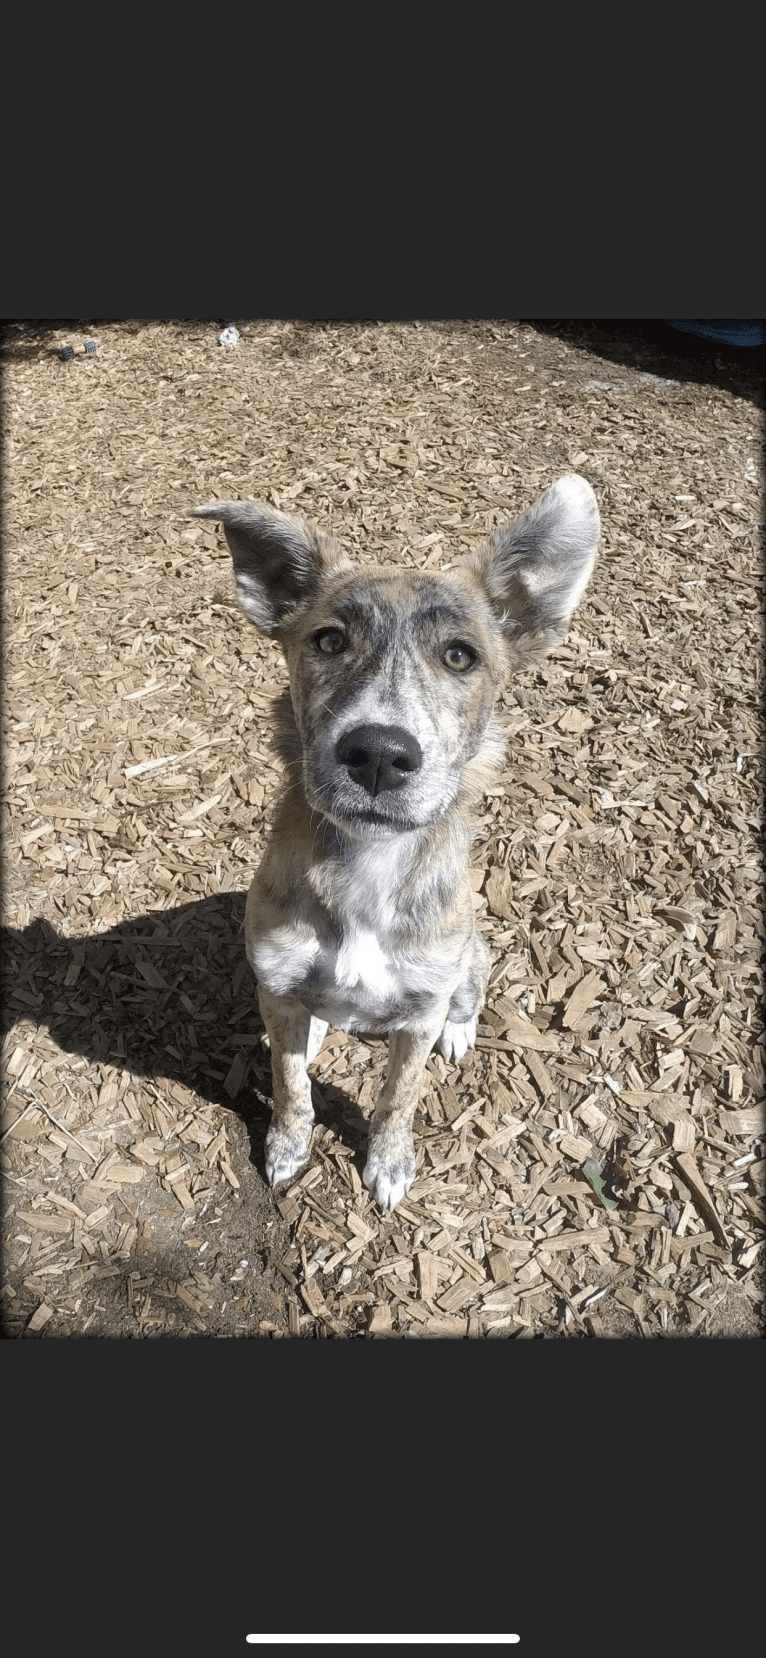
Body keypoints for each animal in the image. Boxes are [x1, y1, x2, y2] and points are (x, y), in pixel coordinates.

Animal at [189, 474, 596, 1213]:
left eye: (460, 655)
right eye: (328, 641)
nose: (378, 753)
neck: (370, 867)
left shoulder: (417, 1016)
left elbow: (398, 1097)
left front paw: (388, 1163)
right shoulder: (277, 989)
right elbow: (290, 1081)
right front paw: (287, 1147)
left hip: (471, 953)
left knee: (470, 989)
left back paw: (461, 1030)